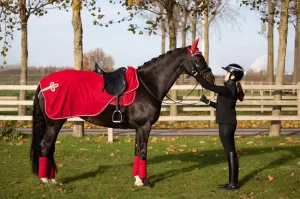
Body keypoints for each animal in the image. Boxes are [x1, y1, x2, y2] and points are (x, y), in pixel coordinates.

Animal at [30, 38, 214, 188]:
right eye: (198, 59)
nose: (211, 78)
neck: (148, 85)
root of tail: (45, 84)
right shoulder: (144, 126)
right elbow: (143, 152)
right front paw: (146, 182)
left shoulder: (139, 128)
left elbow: (137, 151)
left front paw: (138, 180)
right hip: (54, 123)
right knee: (45, 146)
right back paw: (46, 180)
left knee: (50, 148)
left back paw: (52, 179)